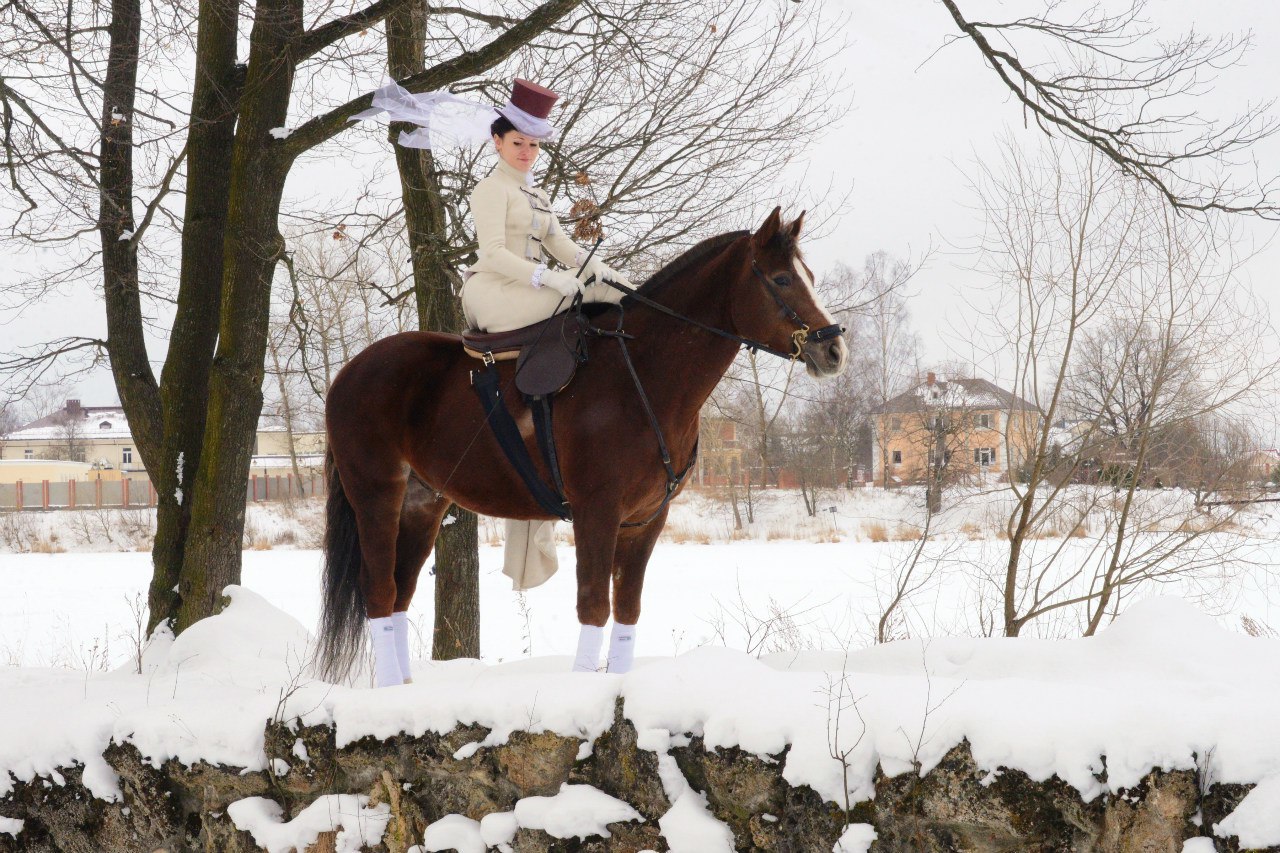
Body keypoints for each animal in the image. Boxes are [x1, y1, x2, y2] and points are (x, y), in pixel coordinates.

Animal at [316, 208, 844, 681]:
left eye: (809, 276)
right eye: (781, 279)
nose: (834, 348)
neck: (641, 376)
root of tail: (348, 373)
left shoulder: (645, 521)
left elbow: (627, 608)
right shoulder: (597, 512)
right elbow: (593, 606)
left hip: (423, 504)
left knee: (400, 593)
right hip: (376, 497)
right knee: (379, 592)